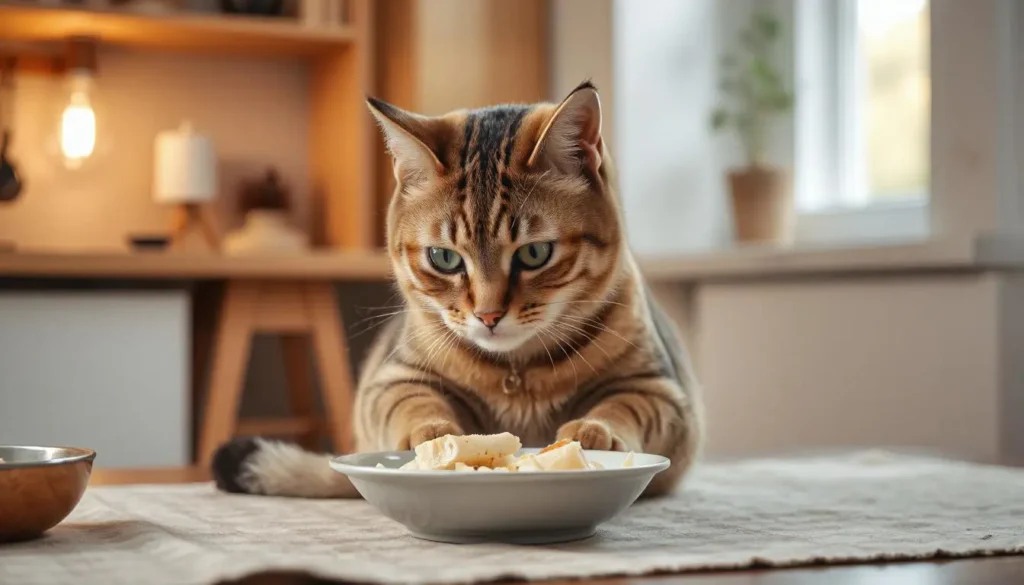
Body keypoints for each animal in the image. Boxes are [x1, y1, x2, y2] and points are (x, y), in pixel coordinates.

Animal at [207, 79, 704, 495]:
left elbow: (624, 406)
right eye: (444, 258)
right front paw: (436, 438)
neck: (517, 374)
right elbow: (413, 403)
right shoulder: (392, 378)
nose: (488, 316)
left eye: (535, 253)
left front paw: (591, 432)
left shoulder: (663, 389)